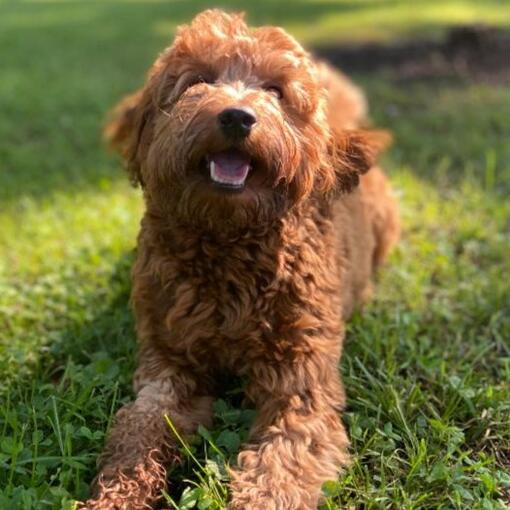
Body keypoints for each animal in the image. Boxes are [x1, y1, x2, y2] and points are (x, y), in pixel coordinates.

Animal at [80, 8, 398, 510]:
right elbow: (137, 435)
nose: (236, 116)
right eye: (197, 80)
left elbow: (280, 464)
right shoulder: (168, 366)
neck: (229, 246)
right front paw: (115, 497)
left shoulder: (299, 386)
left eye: (275, 90)